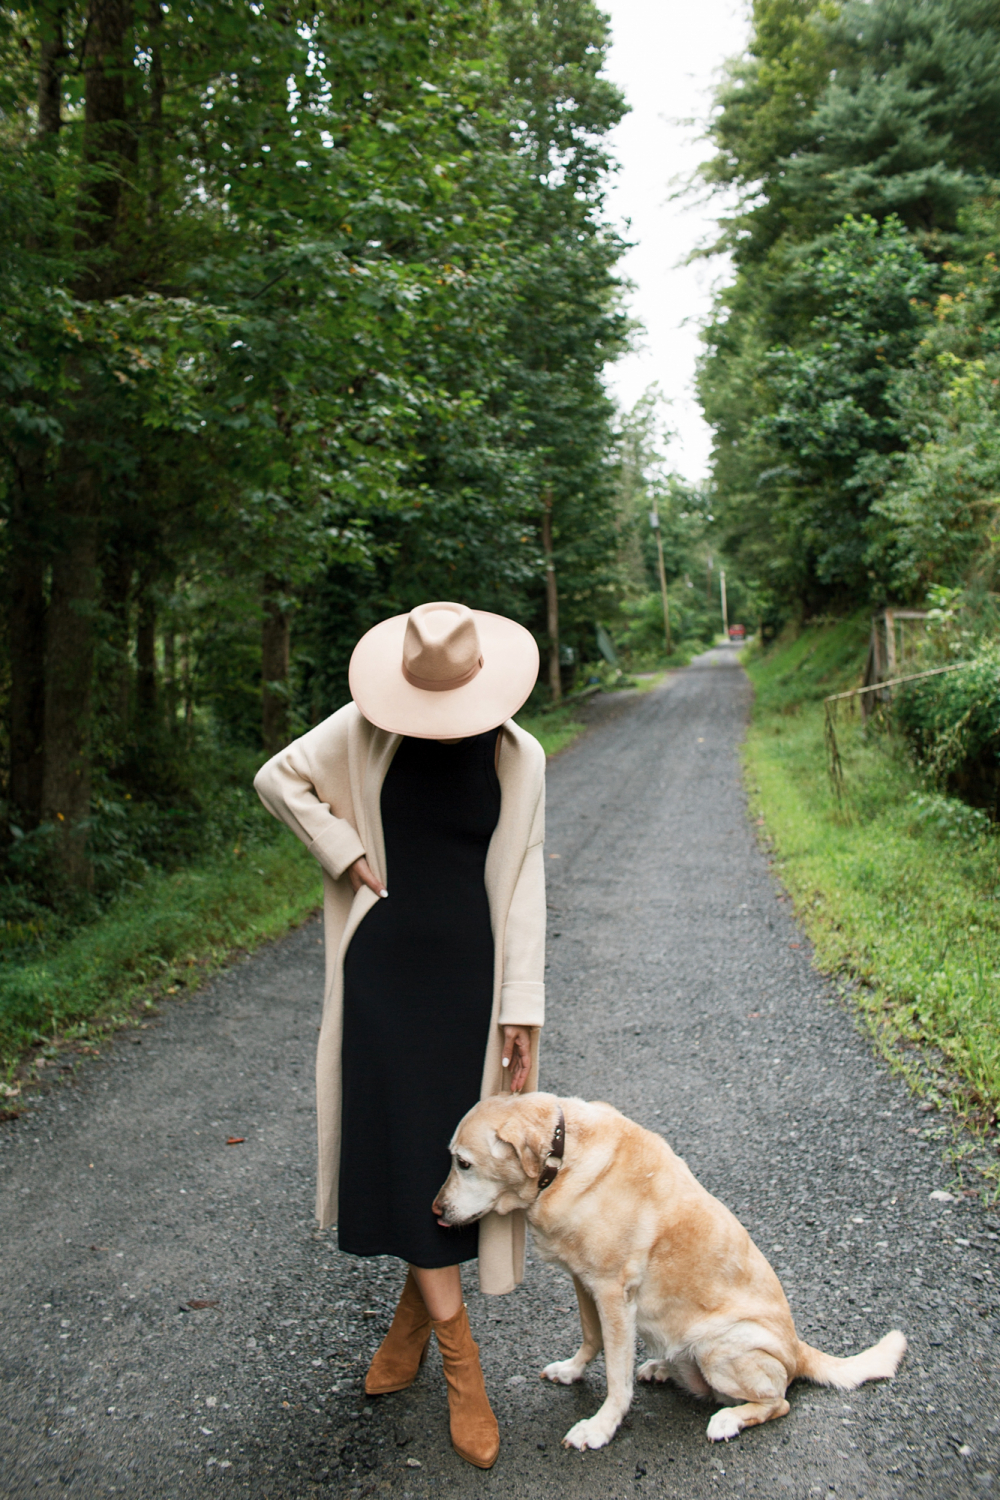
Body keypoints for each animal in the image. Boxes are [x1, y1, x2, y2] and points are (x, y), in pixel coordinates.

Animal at [431, 1092, 905, 1452]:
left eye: (464, 1163)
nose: (435, 1211)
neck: (562, 1159)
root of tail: (797, 1349)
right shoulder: (584, 1283)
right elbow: (591, 1338)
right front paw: (572, 1370)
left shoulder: (613, 1293)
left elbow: (616, 1377)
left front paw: (600, 1427)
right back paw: (661, 1368)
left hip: (721, 1347)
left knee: (778, 1402)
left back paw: (729, 1419)